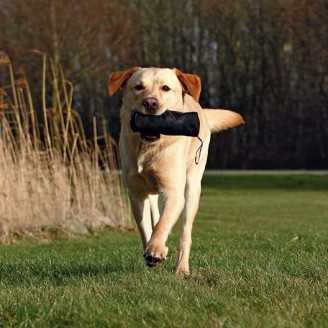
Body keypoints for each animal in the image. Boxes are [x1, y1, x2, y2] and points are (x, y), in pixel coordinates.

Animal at [107, 67, 243, 274]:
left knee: (185, 232)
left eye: (165, 88)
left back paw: (182, 268)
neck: (150, 147)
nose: (150, 103)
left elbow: (163, 223)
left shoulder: (173, 192)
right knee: (155, 214)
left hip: (192, 188)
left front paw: (155, 249)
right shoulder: (136, 193)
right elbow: (145, 226)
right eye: (138, 87)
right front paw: (152, 251)